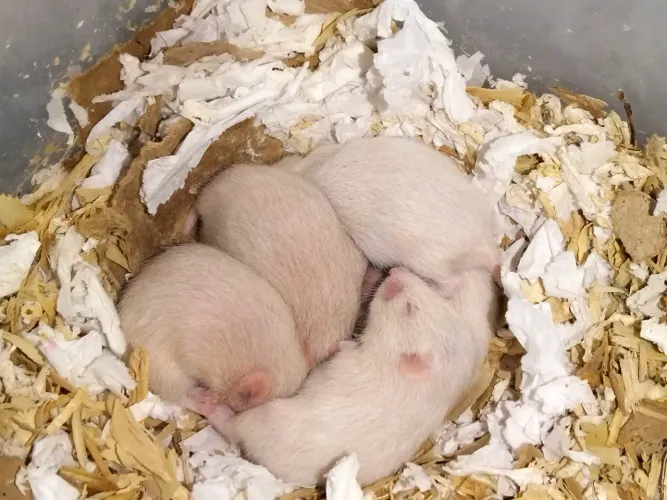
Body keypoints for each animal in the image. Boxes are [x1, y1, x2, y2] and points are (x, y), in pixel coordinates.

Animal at [222, 266, 497, 487]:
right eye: (433, 293)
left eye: (410, 309)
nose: (395, 269)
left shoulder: (343, 363)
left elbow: (336, 356)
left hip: (262, 417)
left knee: (231, 426)